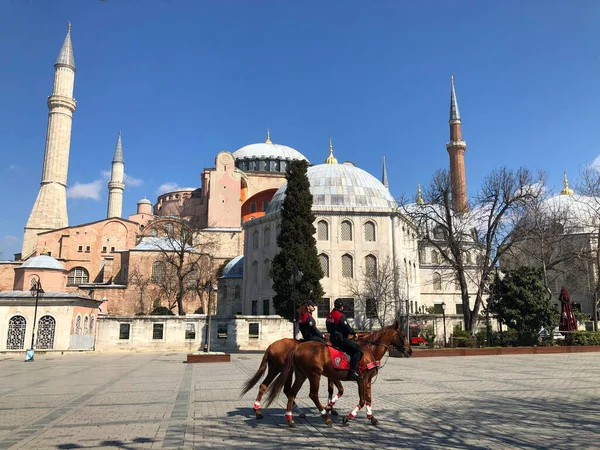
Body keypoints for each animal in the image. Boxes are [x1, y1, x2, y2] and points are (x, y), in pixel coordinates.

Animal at [264, 322, 410, 428]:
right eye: (403, 335)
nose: (409, 350)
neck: (370, 351)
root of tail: (297, 347)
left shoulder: (367, 380)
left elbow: (368, 399)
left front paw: (371, 417)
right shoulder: (362, 379)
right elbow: (362, 400)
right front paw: (347, 417)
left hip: (302, 374)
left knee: (292, 392)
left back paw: (290, 419)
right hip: (314, 375)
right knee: (313, 395)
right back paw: (325, 417)